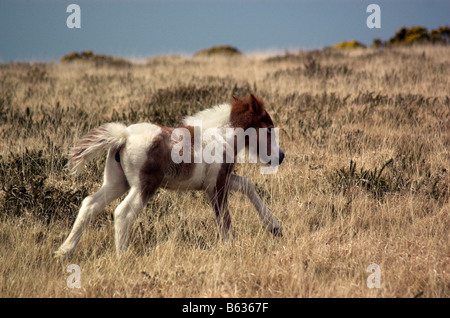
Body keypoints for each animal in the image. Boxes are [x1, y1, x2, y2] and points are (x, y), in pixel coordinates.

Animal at [54, 93, 284, 258]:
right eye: (269, 128)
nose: (280, 156)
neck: (220, 136)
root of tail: (124, 136)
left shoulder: (218, 181)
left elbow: (247, 185)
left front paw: (275, 227)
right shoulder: (216, 185)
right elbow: (224, 218)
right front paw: (230, 246)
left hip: (116, 183)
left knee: (89, 204)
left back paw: (64, 252)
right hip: (144, 185)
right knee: (122, 212)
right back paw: (123, 257)